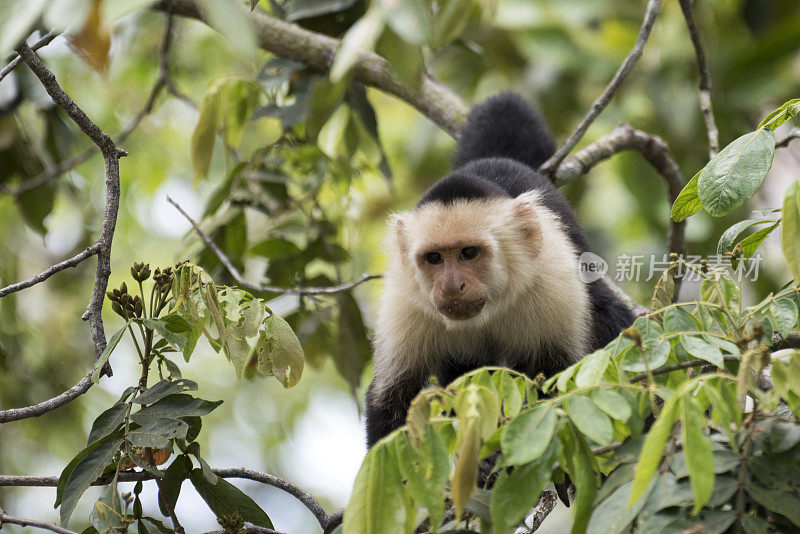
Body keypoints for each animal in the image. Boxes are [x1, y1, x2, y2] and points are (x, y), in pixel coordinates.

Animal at [366, 94, 636, 450]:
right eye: (434, 258)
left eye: (469, 253)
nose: (451, 286)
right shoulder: (406, 301)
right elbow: (389, 400)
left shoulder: (553, 281)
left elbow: (560, 376)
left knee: (606, 312)